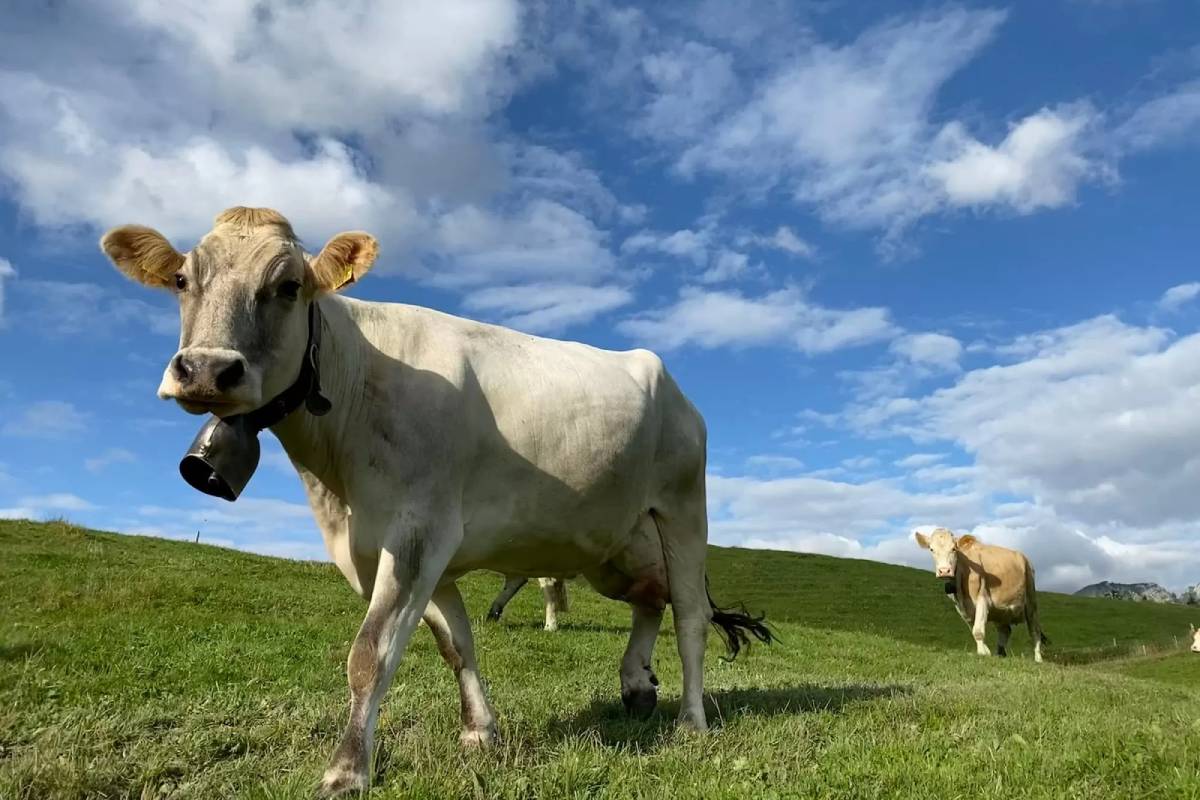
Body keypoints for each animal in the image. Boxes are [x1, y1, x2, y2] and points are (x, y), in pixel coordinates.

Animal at [100, 207, 774, 797]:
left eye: (288, 286)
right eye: (182, 280)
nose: (206, 370)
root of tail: (674, 386)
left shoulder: (418, 532)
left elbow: (371, 653)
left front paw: (347, 771)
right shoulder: (413, 550)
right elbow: (457, 645)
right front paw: (480, 732)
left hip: (683, 509)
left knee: (689, 616)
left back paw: (691, 721)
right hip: (614, 540)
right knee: (649, 599)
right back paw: (636, 684)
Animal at [914, 528, 1048, 663]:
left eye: (954, 549)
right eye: (931, 549)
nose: (944, 571)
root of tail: (1025, 558)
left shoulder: (982, 599)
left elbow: (978, 630)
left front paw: (982, 652)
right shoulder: (962, 608)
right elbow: (974, 629)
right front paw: (986, 651)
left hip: (1031, 601)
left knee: (1035, 631)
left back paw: (1038, 658)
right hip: (1001, 611)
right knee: (1005, 630)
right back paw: (1000, 653)